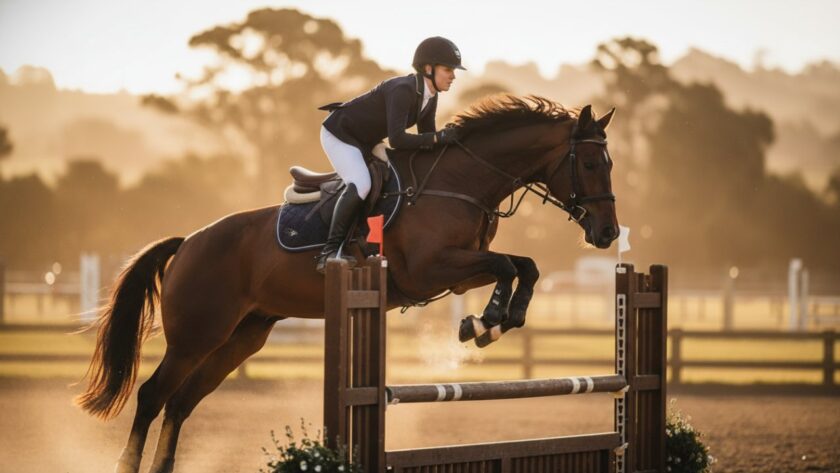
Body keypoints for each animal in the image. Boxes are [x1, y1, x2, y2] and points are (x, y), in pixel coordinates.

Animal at [76, 95, 618, 473]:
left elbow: (523, 265)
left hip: (242, 337)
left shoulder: (462, 270)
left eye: (607, 164)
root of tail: (188, 241)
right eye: (591, 164)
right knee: (153, 396)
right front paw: (484, 323)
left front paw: (499, 320)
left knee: (181, 402)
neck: (461, 182)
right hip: (197, 335)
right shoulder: (429, 269)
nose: (608, 233)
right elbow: (509, 266)